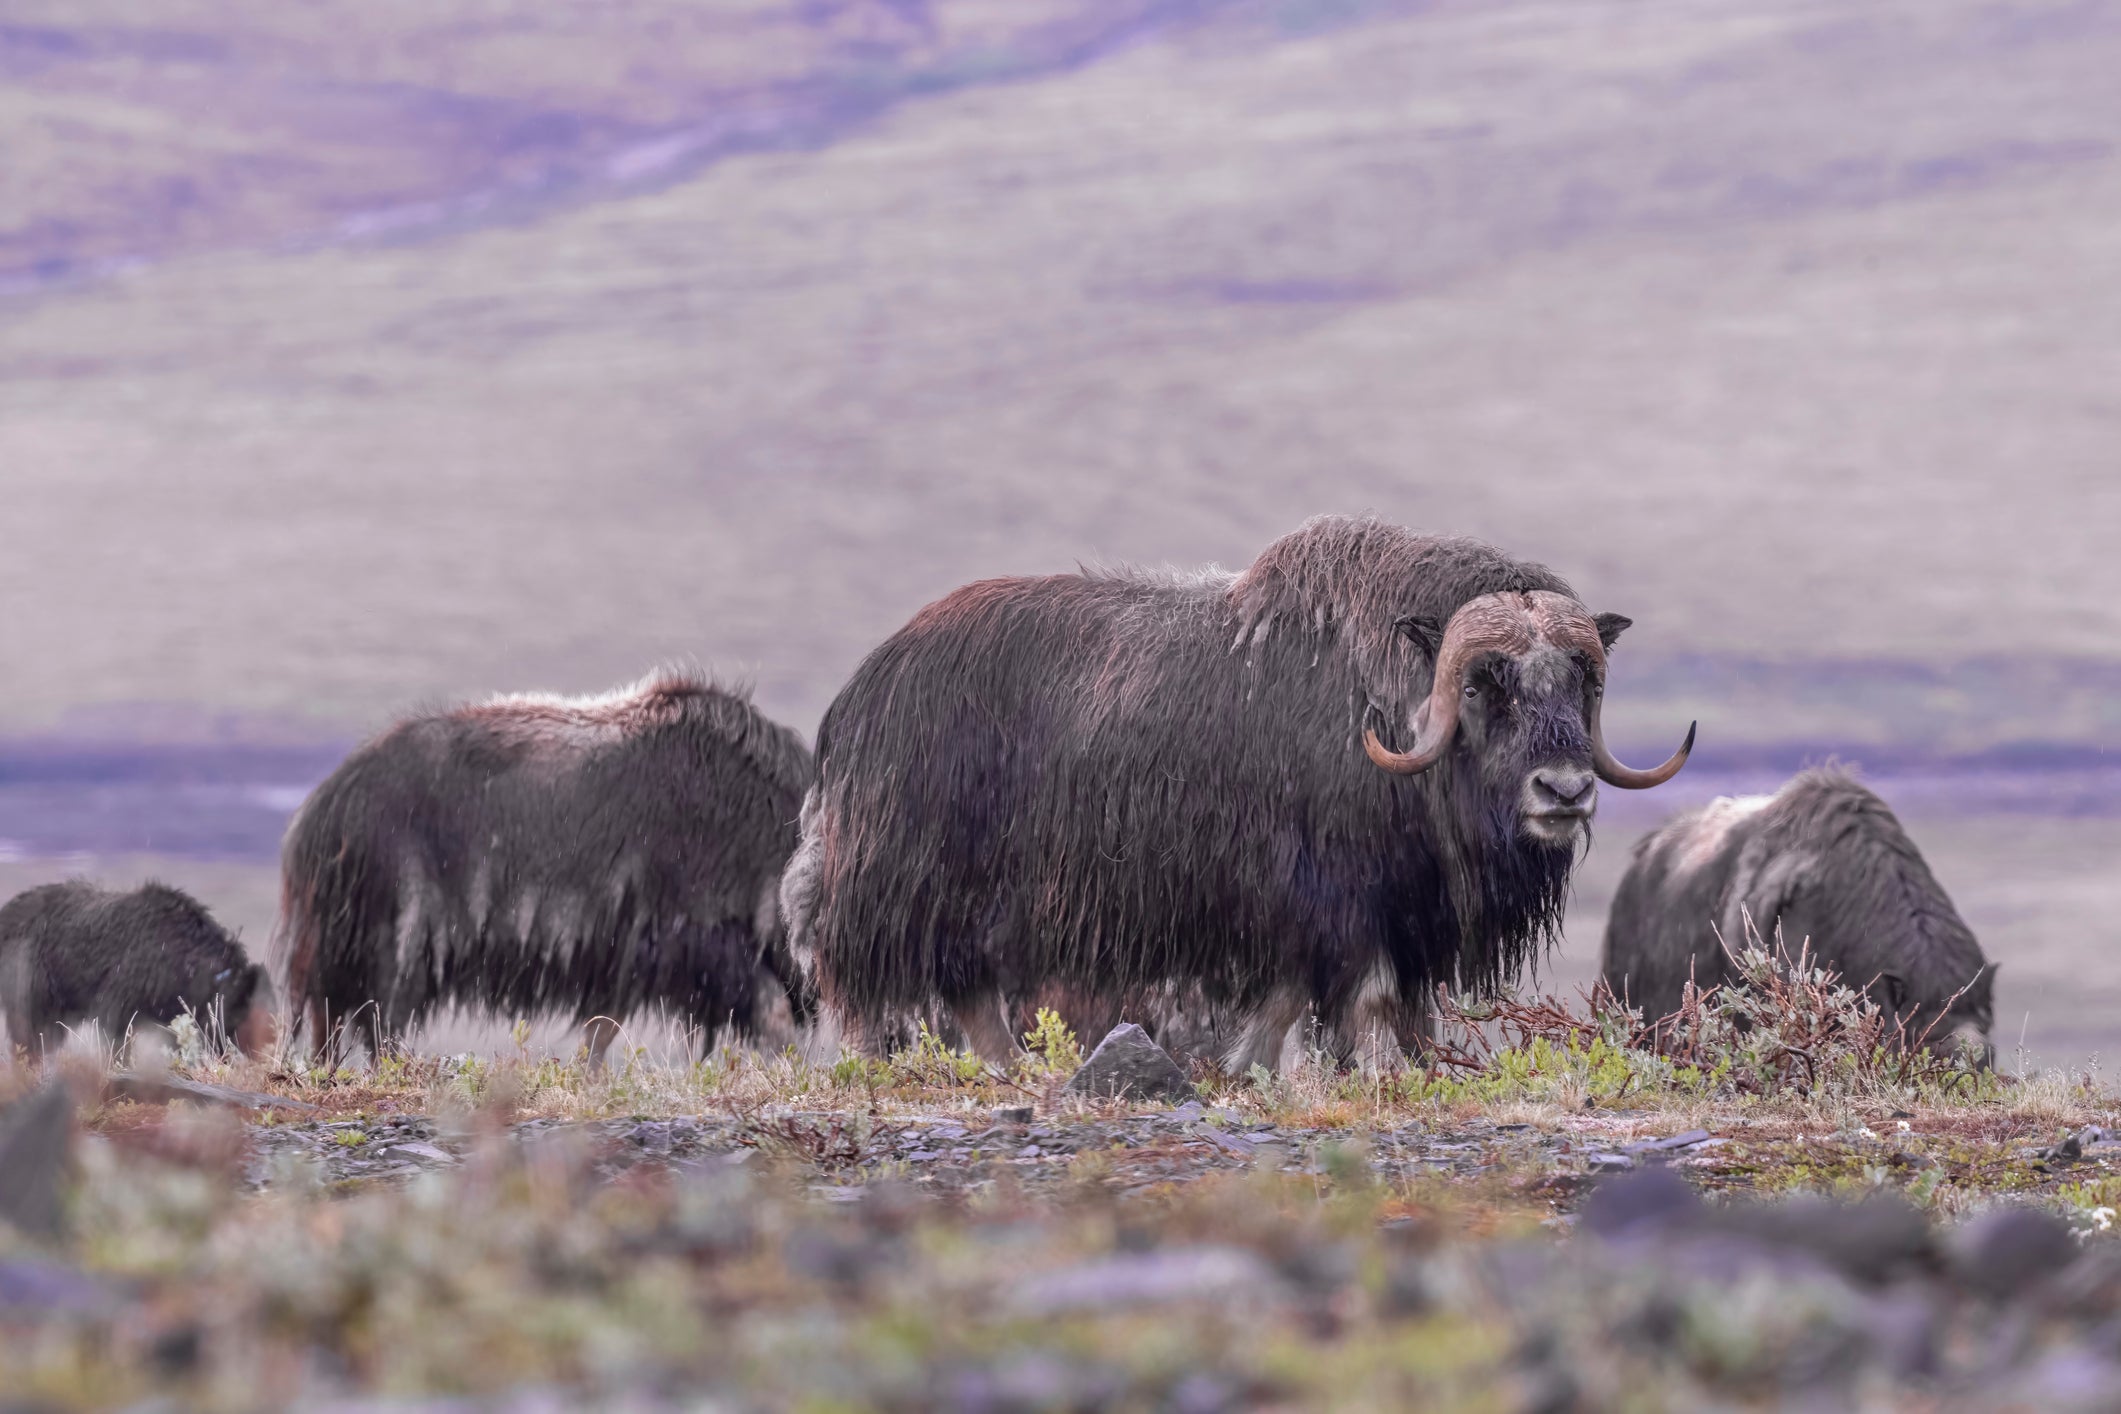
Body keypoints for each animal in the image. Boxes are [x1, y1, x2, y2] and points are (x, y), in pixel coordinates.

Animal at [1, 886, 277, 1059]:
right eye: (239, 1014)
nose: (259, 1054)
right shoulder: (125, 991)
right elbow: (115, 1033)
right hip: (33, 980)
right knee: (31, 1030)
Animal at [277, 674, 805, 1059]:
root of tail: (329, 803)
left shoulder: (625, 955)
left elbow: (601, 1032)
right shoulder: (694, 933)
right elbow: (771, 1008)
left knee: (337, 1019)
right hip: (395, 938)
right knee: (376, 1020)